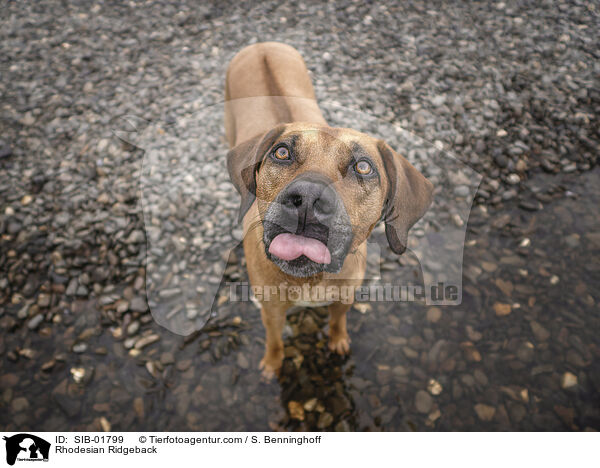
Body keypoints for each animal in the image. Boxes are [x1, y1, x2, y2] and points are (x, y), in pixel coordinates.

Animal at [223, 42, 434, 378]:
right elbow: (274, 340)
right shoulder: (271, 310)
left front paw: (338, 341)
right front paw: (272, 363)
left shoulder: (344, 296)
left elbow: (338, 320)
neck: (311, 278)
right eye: (281, 152)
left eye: (363, 167)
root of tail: (261, 45)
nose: (308, 198)